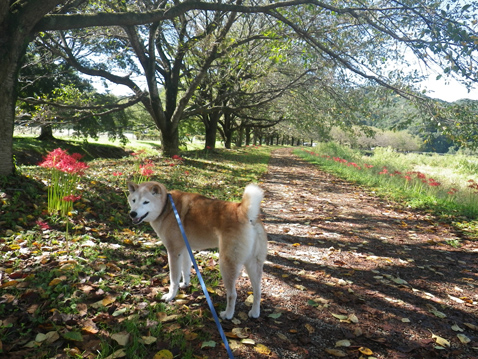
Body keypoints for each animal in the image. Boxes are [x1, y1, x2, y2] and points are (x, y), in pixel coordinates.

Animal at [127, 183, 268, 320]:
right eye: (133, 200)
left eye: (146, 202)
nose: (132, 213)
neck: (166, 207)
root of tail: (243, 212)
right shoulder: (184, 250)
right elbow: (185, 270)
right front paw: (185, 284)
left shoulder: (173, 252)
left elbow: (174, 279)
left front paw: (171, 296)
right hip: (253, 265)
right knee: (257, 291)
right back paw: (255, 312)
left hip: (226, 264)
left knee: (232, 294)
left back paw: (227, 315)